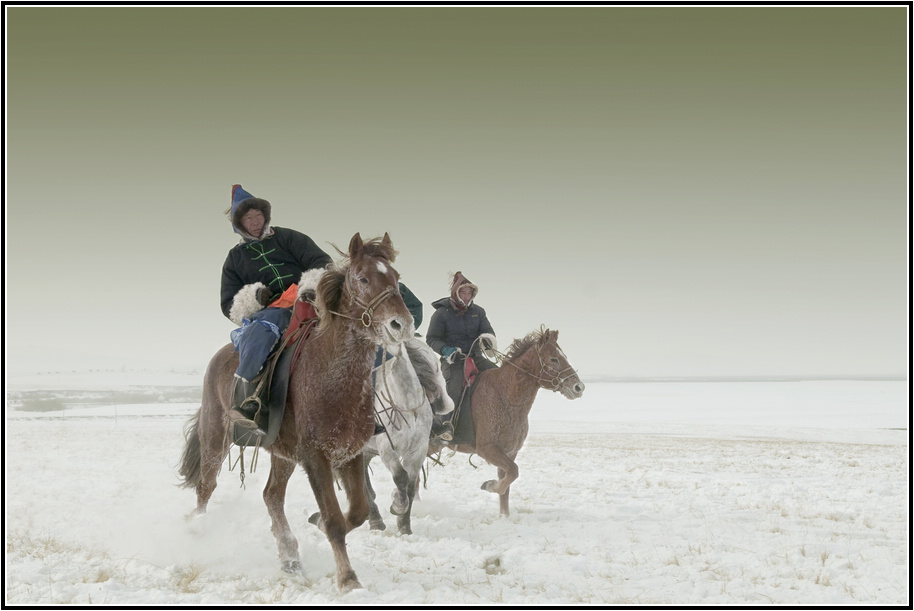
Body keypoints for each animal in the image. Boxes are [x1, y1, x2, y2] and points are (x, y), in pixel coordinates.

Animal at [179, 234, 414, 592]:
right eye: (362, 279)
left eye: (396, 278)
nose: (400, 324)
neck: (331, 376)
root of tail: (221, 356)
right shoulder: (315, 457)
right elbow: (335, 520)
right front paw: (348, 579)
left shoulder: (348, 453)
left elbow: (356, 513)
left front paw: (318, 526)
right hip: (215, 435)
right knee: (206, 486)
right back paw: (196, 529)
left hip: (281, 453)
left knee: (272, 496)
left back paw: (289, 556)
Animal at [362, 338, 450, 532]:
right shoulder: (387, 449)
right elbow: (400, 476)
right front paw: (397, 505)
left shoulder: (418, 450)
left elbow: (409, 484)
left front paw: (404, 527)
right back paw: (375, 520)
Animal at [442, 328, 584, 520]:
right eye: (554, 359)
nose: (579, 387)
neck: (505, 397)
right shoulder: (488, 449)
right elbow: (513, 473)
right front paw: (489, 485)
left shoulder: (509, 452)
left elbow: (508, 482)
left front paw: (504, 516)